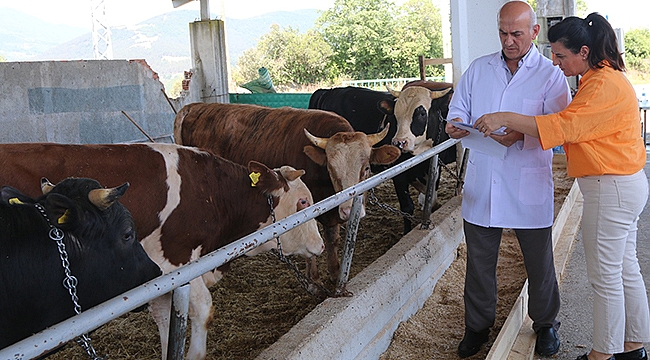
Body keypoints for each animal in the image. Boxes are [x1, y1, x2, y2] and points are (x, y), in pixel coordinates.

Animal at [172, 100, 400, 292]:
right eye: (331, 169)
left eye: (367, 168)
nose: (348, 209)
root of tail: (195, 106)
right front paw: (314, 280)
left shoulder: (332, 214)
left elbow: (333, 239)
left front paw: (335, 274)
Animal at [308, 85, 456, 232]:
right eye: (395, 115)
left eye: (422, 113)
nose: (399, 142)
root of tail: (328, 91)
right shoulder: (398, 174)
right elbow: (407, 208)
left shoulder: (435, 167)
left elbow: (431, 201)